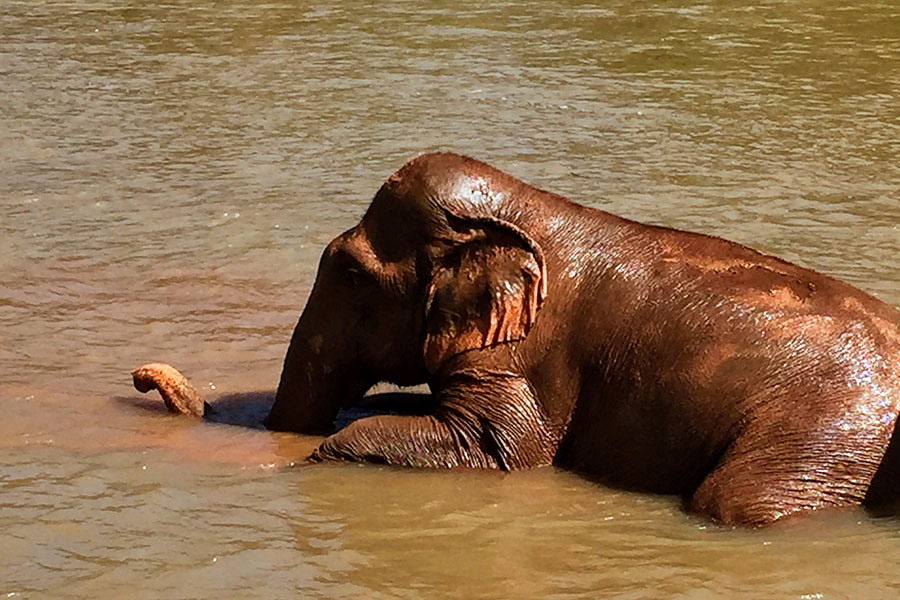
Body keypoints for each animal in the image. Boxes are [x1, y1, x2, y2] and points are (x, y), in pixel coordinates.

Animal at [134, 151, 900, 524]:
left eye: (349, 273)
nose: (142, 376)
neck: (529, 209)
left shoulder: (527, 359)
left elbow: (501, 451)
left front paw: (313, 461)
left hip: (824, 433)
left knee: (735, 504)